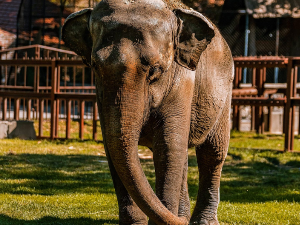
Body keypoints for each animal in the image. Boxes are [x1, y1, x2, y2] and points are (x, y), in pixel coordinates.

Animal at [62, 0, 233, 224]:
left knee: (212, 153)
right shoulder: (100, 92)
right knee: (184, 159)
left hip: (225, 95)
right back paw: (182, 216)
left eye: (155, 70)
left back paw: (200, 221)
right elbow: (112, 147)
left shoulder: (182, 82)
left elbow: (168, 145)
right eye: (96, 67)